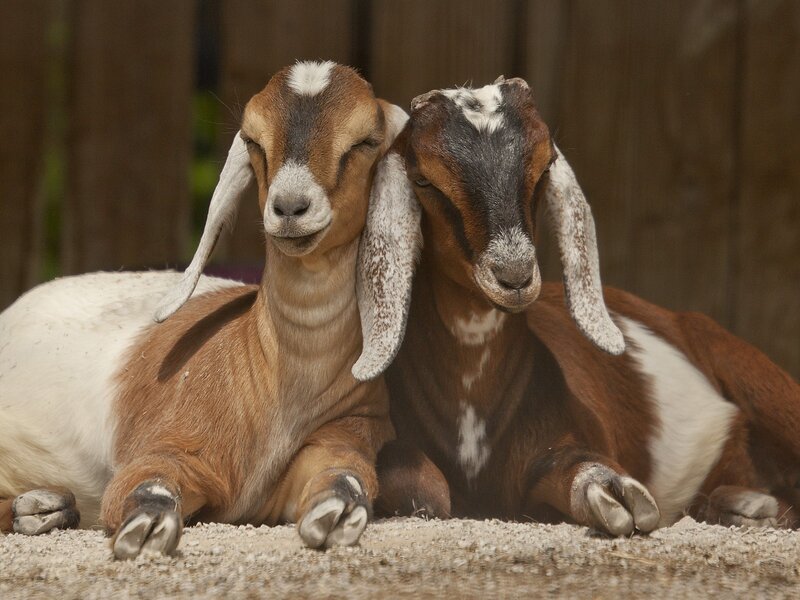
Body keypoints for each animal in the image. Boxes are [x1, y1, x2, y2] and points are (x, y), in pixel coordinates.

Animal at [0, 61, 420, 558]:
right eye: (254, 139)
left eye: (365, 142)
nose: (289, 207)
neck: (276, 385)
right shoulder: (167, 446)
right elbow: (146, 486)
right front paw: (145, 529)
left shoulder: (342, 441)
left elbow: (346, 480)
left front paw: (338, 516)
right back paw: (38, 507)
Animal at [373, 76, 800, 536]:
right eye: (423, 180)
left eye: (544, 167)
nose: (515, 276)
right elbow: (408, 476)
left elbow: (577, 464)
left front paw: (612, 492)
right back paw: (745, 505)